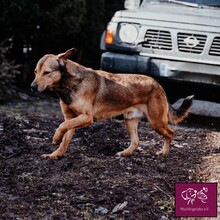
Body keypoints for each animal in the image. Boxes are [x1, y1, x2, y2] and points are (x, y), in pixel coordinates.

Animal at [30, 48, 192, 159]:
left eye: (47, 72)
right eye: (35, 72)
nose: (32, 87)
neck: (70, 83)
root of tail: (158, 85)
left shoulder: (86, 118)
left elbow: (62, 127)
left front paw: (55, 138)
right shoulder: (72, 118)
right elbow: (65, 137)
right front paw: (55, 155)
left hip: (156, 122)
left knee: (170, 133)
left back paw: (164, 152)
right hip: (130, 120)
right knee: (136, 142)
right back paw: (125, 153)